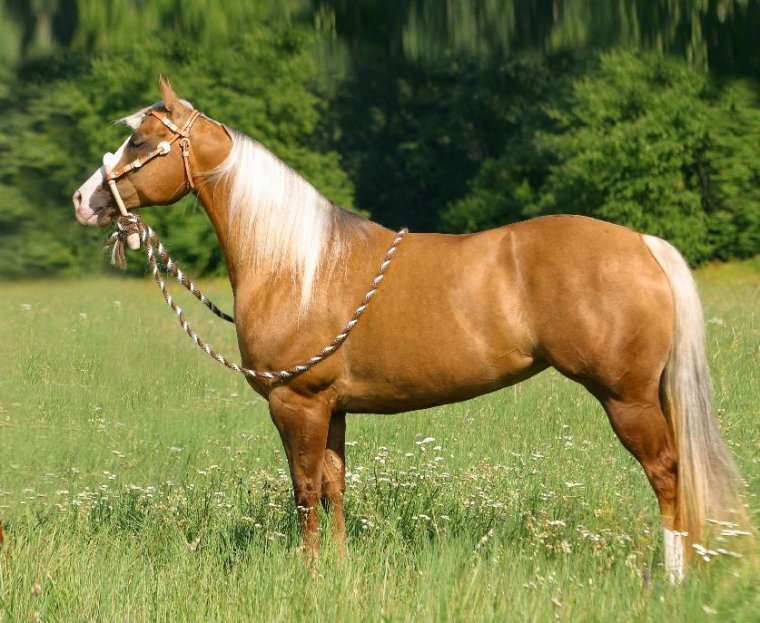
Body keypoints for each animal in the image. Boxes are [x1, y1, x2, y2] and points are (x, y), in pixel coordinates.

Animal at [73, 77, 747, 581]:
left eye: (139, 140)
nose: (84, 201)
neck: (298, 264)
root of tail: (643, 244)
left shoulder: (297, 404)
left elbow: (303, 491)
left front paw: (308, 577)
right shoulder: (332, 409)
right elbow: (334, 487)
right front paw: (339, 572)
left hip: (626, 398)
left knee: (668, 474)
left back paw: (673, 579)